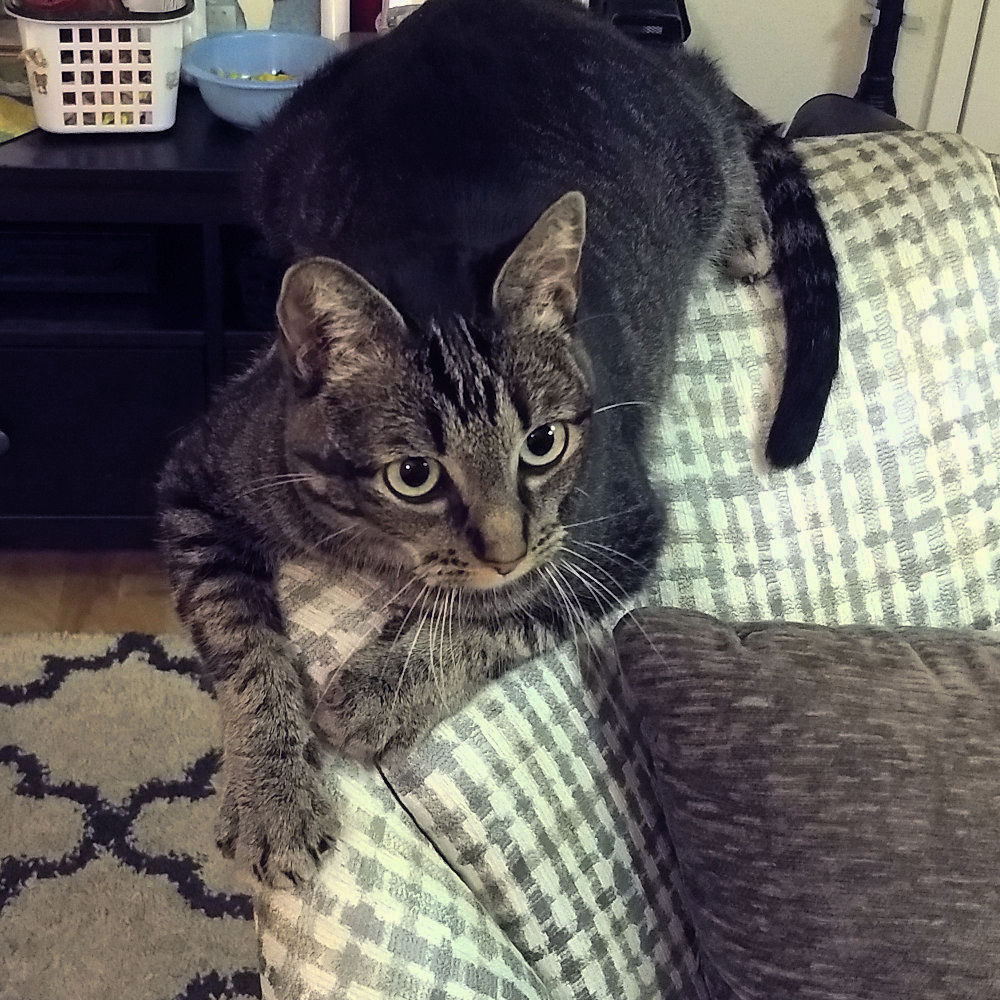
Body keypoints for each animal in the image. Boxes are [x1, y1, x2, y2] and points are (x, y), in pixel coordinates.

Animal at [158, 0, 836, 888]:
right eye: (414, 475)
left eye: (542, 443)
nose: (506, 545)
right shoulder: (201, 481)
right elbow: (245, 644)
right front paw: (273, 790)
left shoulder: (616, 529)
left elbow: (500, 613)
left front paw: (383, 685)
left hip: (686, 136)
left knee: (716, 94)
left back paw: (749, 224)